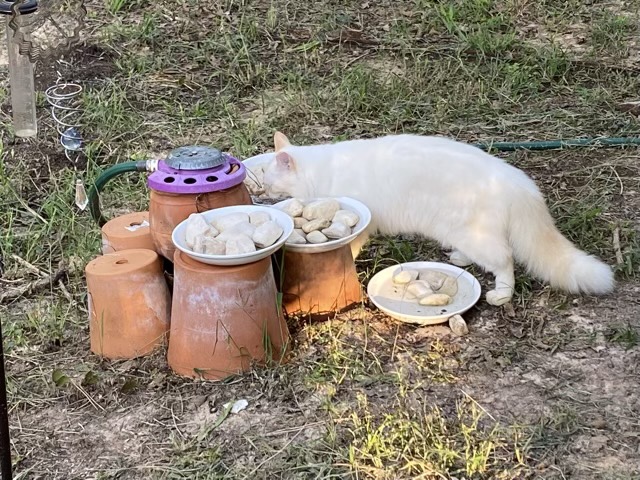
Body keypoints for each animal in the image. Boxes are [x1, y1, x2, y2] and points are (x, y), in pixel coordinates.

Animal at [245, 131, 615, 306]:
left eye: (266, 181)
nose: (259, 193)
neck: (322, 172)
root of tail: (518, 180)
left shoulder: (361, 220)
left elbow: (349, 246)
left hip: (474, 234)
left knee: (505, 261)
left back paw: (501, 295)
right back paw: (460, 258)